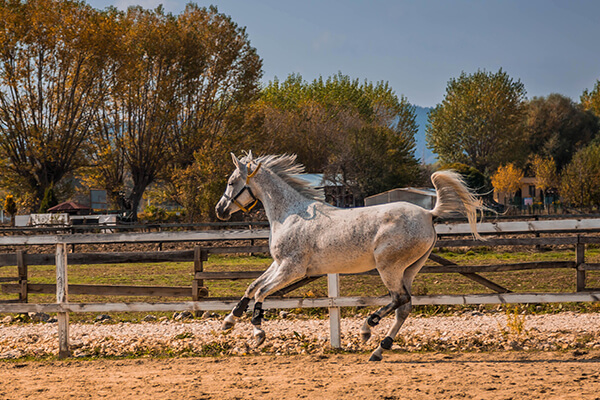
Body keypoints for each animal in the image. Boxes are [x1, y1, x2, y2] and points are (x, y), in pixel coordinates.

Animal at [213, 152, 486, 360]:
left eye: (231, 181)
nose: (220, 210)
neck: (291, 214)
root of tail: (429, 214)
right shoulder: (279, 264)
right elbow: (251, 287)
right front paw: (228, 321)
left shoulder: (292, 269)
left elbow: (261, 292)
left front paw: (258, 334)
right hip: (410, 269)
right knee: (405, 306)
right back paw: (379, 350)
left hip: (389, 267)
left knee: (399, 299)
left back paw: (367, 329)